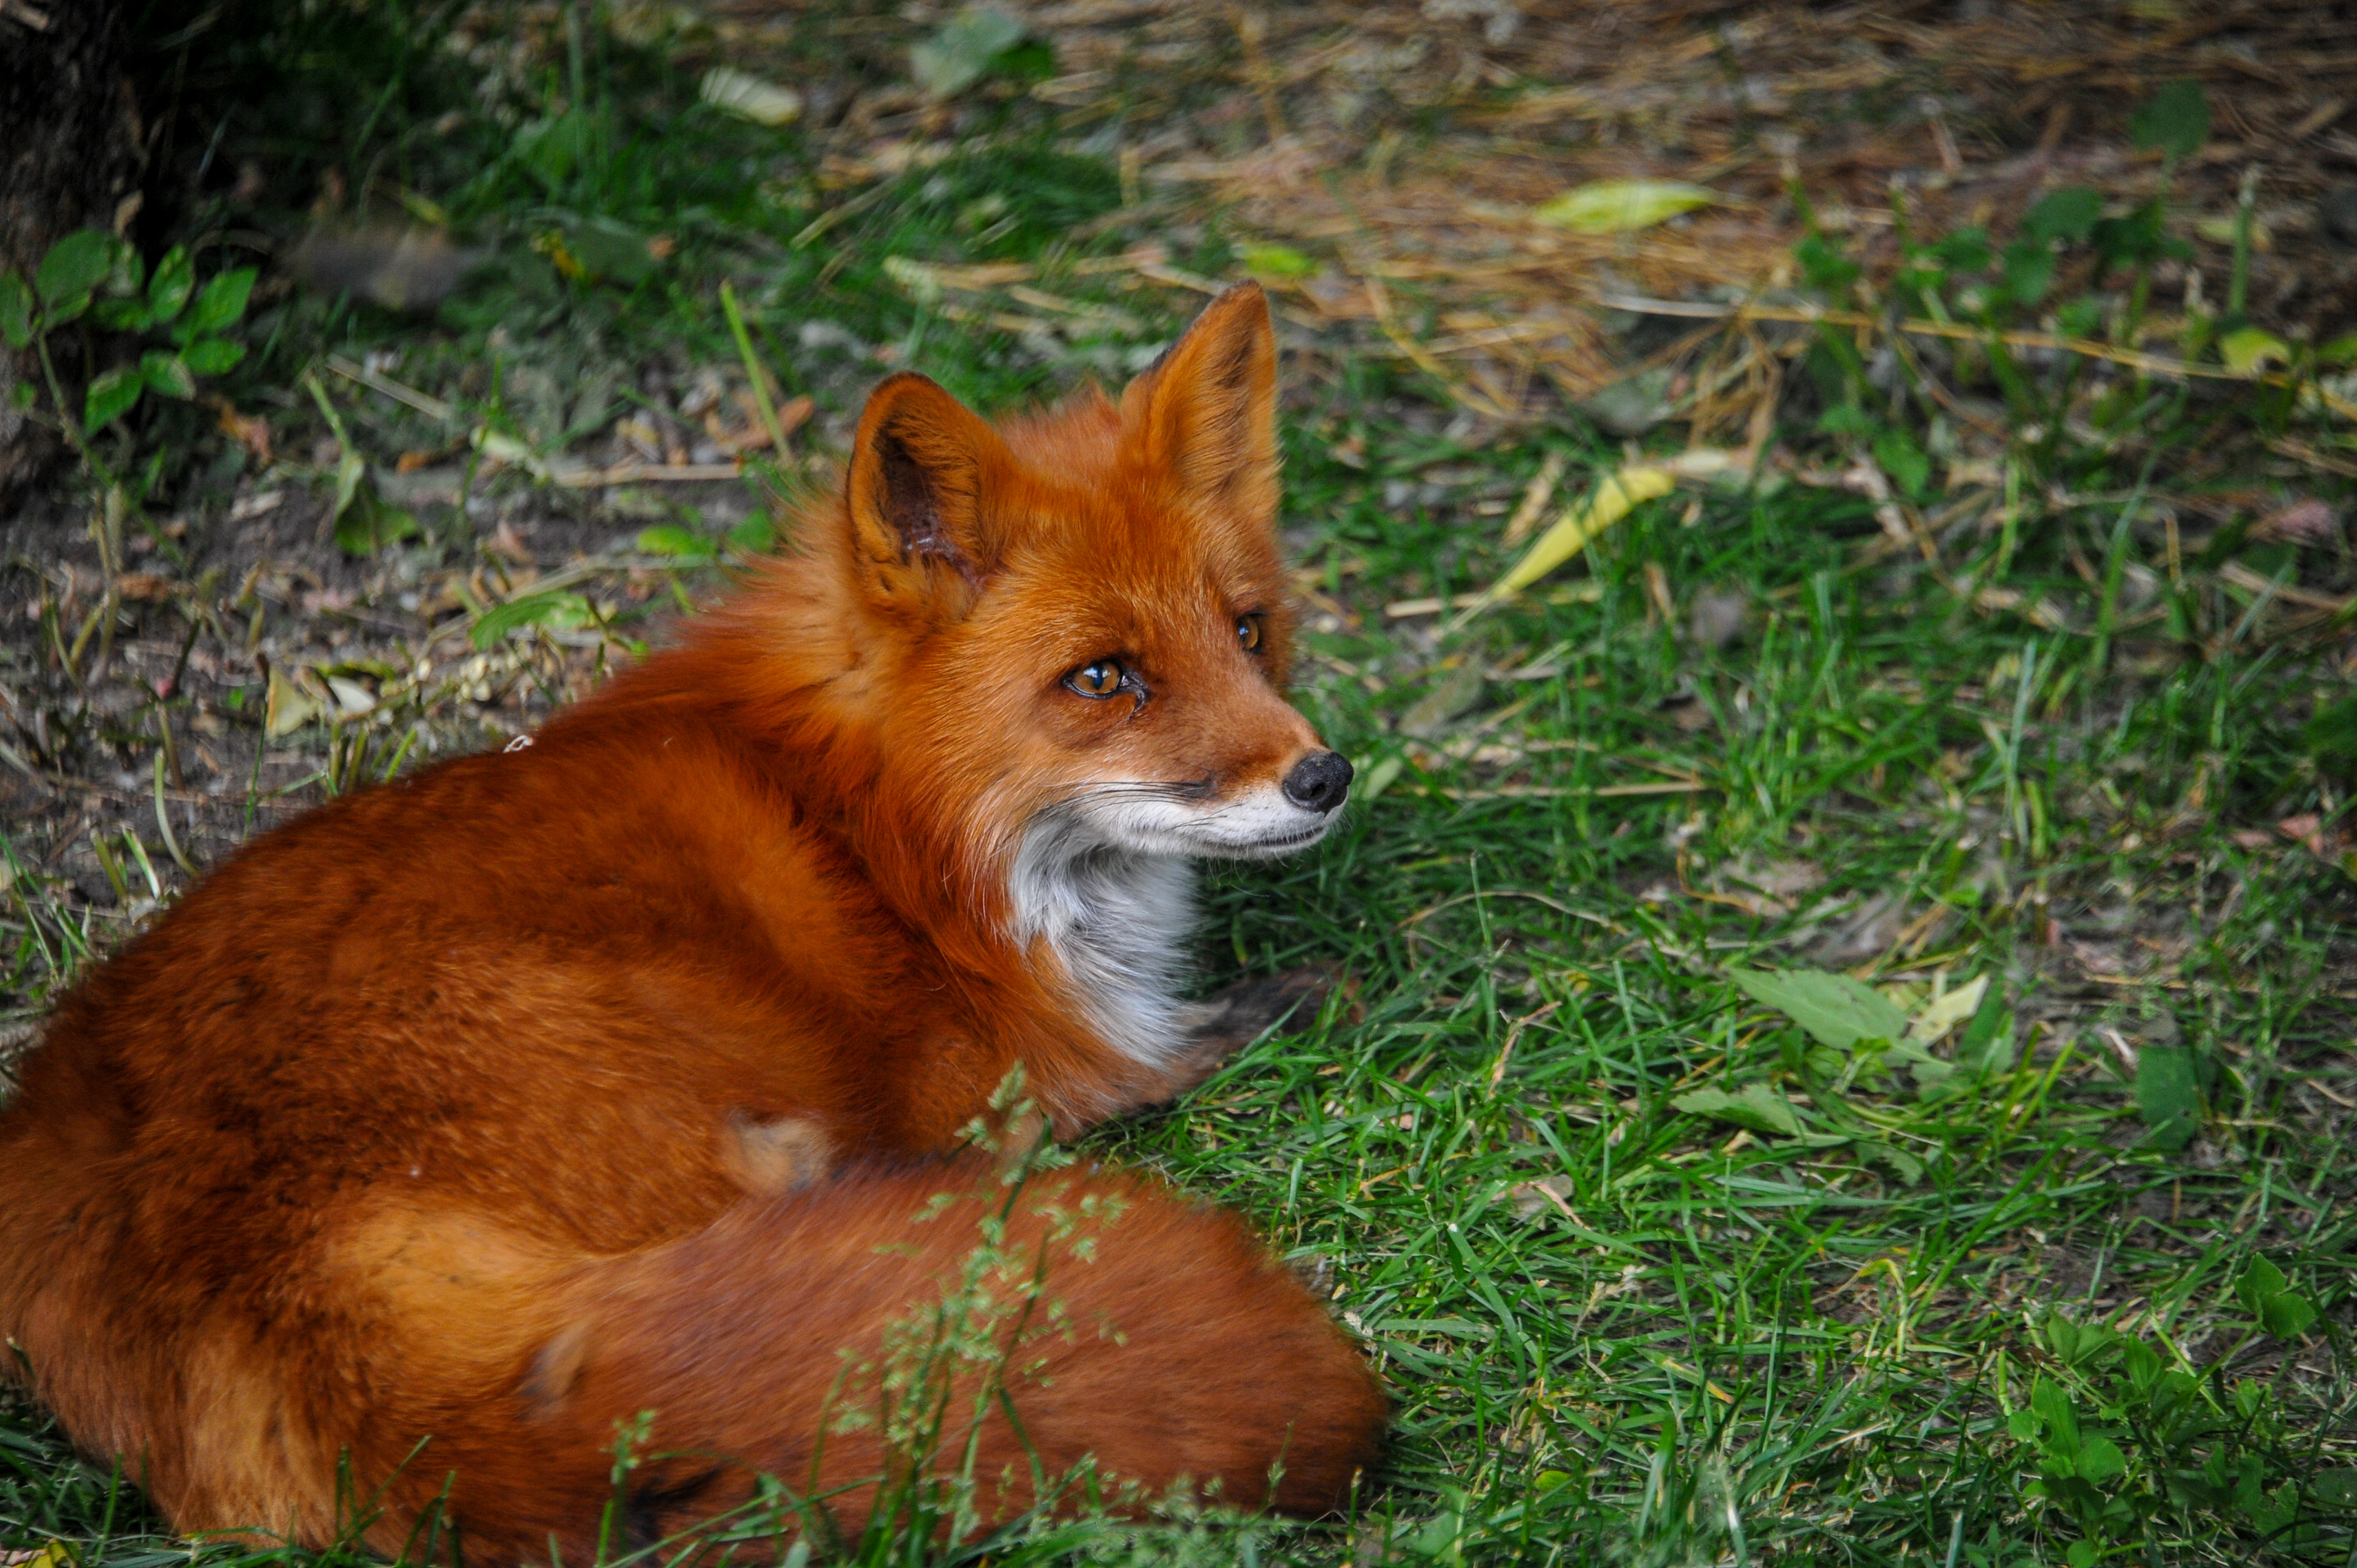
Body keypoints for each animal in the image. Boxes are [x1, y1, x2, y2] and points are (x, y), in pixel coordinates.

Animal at [0, 281, 1376, 1556]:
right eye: (1104, 677)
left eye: (1247, 630)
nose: (1324, 776)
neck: (893, 828)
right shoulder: (1005, 1088)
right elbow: (1136, 1068)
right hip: (762, 1126)